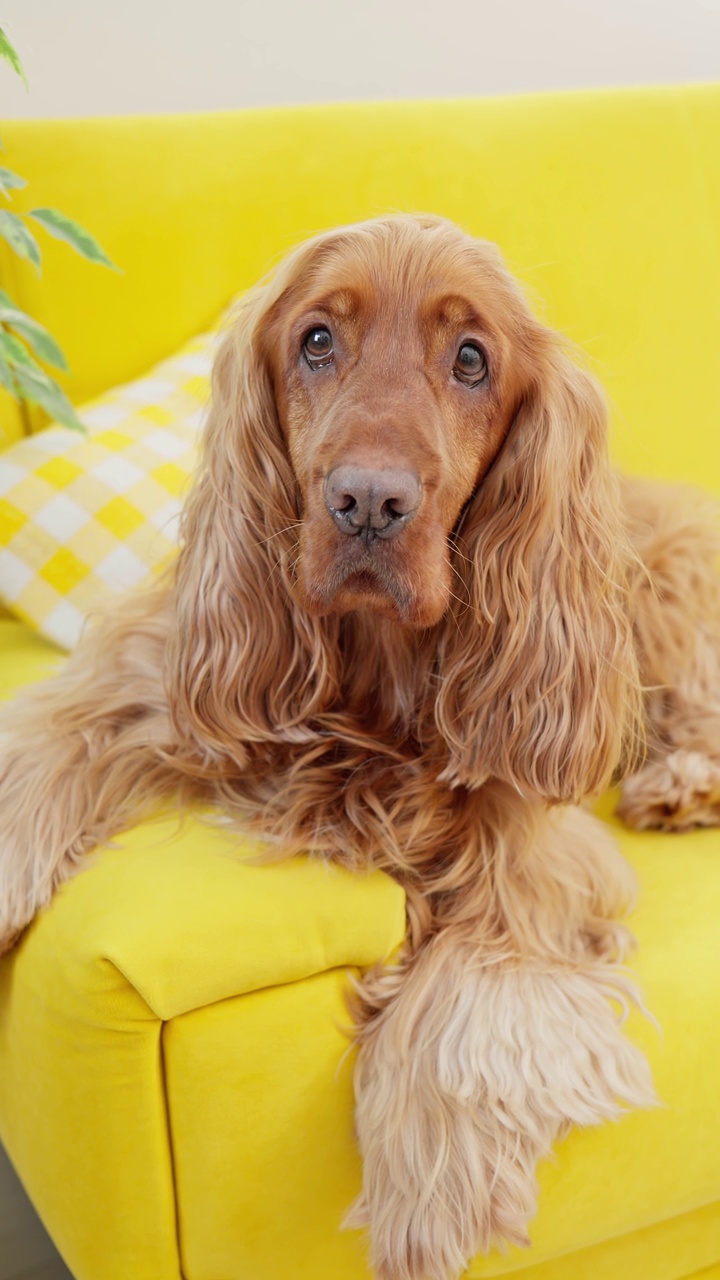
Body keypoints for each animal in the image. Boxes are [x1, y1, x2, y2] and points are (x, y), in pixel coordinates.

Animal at [1, 217, 717, 1280]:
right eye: (316, 341)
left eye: (471, 360)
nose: (369, 503)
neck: (376, 672)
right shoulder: (149, 682)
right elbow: (45, 740)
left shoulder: (539, 852)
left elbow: (476, 987)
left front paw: (427, 1192)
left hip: (672, 597)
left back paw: (681, 785)